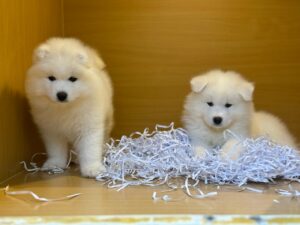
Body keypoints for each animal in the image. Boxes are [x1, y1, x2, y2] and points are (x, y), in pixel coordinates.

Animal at [25, 37, 112, 178]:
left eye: (72, 79)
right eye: (51, 78)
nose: (61, 94)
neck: (65, 108)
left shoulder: (89, 126)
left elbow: (90, 149)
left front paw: (92, 168)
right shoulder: (52, 131)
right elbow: (56, 150)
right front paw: (55, 164)